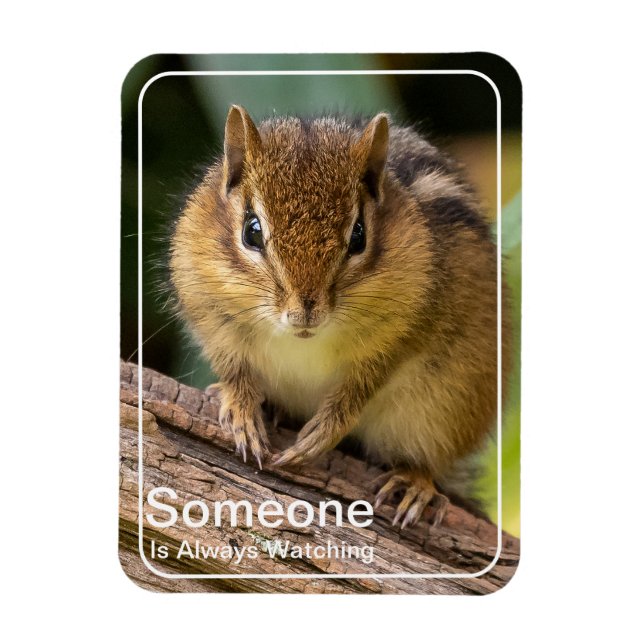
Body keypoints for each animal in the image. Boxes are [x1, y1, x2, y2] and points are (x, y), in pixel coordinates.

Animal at [169, 105, 511, 529]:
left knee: (428, 461)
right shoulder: (209, 310)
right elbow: (233, 367)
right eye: (252, 231)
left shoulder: (407, 330)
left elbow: (364, 384)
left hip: (447, 409)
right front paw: (241, 409)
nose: (304, 310)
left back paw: (415, 484)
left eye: (359, 235)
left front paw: (324, 432)